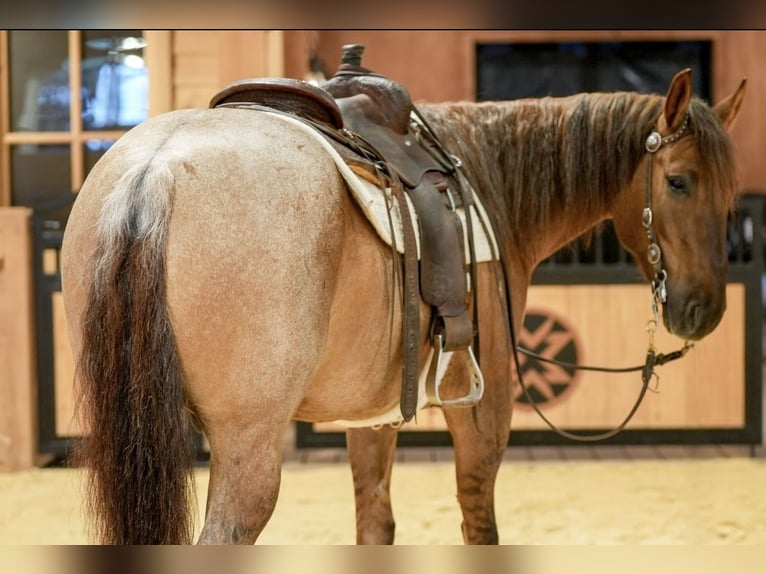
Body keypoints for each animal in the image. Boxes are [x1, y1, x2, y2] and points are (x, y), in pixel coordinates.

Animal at [60, 67, 746, 544]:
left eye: (731, 191)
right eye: (679, 181)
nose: (705, 309)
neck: (485, 178)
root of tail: (156, 172)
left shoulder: (372, 417)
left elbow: (375, 521)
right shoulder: (485, 405)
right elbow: (478, 518)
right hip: (246, 449)